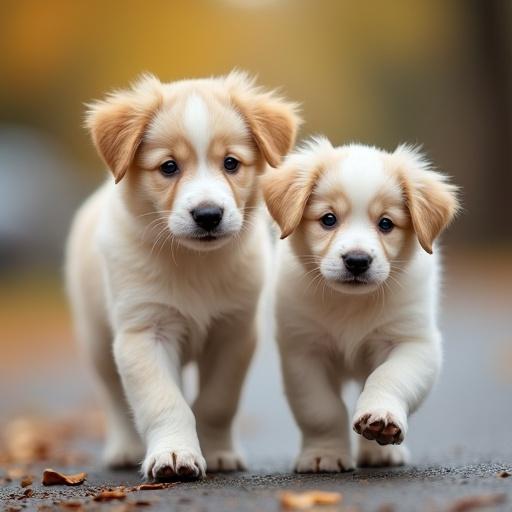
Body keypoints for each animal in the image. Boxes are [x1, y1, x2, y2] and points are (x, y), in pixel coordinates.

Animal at [66, 70, 302, 478]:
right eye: (168, 167)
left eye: (231, 163)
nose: (208, 215)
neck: (195, 264)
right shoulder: (144, 333)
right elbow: (164, 402)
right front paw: (174, 453)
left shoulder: (234, 332)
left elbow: (217, 402)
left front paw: (218, 451)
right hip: (97, 340)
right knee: (114, 398)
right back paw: (125, 448)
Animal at [262, 139, 458, 472]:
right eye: (328, 219)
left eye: (386, 223)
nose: (357, 261)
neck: (350, 303)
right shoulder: (304, 350)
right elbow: (321, 410)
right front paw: (325, 454)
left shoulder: (413, 342)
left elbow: (389, 377)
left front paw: (382, 418)